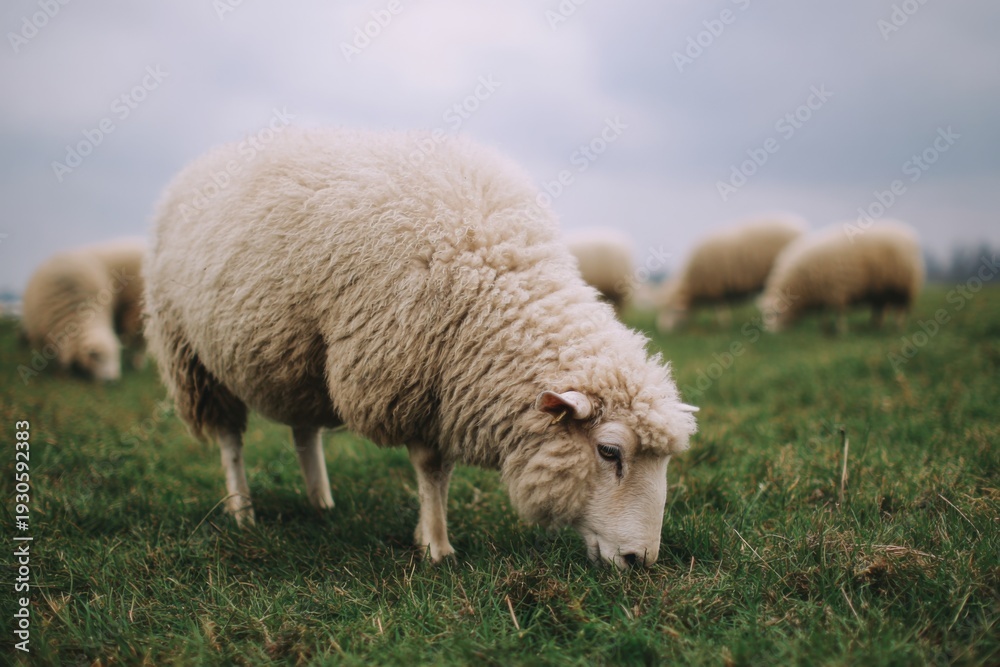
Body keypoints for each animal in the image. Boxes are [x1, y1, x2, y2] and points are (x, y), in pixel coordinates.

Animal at [144, 127, 698, 569]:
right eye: (609, 451)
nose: (641, 559)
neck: (492, 273)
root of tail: (201, 164)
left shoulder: (444, 383)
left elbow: (440, 473)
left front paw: (427, 536)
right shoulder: (411, 378)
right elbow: (432, 470)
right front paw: (436, 546)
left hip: (298, 358)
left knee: (304, 432)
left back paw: (322, 503)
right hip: (191, 357)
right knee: (230, 440)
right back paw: (242, 510)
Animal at [656, 216, 806, 331]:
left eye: (672, 310)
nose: (662, 329)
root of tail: (799, 226)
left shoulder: (716, 288)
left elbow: (721, 308)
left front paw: (725, 325)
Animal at [759, 220, 924, 333]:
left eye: (775, 314)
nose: (771, 333)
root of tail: (908, 233)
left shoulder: (837, 290)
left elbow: (839, 312)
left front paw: (841, 330)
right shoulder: (825, 292)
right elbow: (823, 312)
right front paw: (824, 328)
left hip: (903, 284)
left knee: (901, 308)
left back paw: (899, 326)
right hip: (881, 289)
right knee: (880, 307)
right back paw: (876, 325)